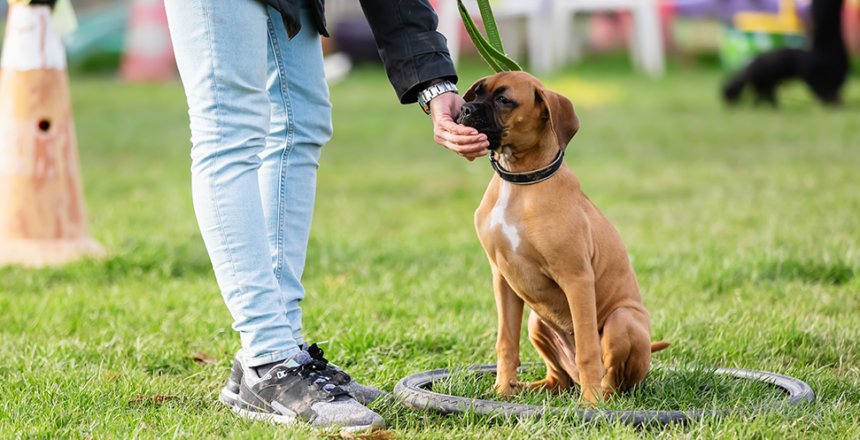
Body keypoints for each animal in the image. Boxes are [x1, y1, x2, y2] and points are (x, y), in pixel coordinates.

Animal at [460, 70, 668, 404]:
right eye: (476, 93)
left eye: (504, 100)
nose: (465, 110)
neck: (519, 181)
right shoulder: (502, 278)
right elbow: (506, 343)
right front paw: (502, 391)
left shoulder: (576, 278)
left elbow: (587, 348)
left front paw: (591, 405)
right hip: (537, 322)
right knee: (559, 379)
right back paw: (528, 389)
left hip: (622, 319)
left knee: (613, 380)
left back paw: (599, 397)